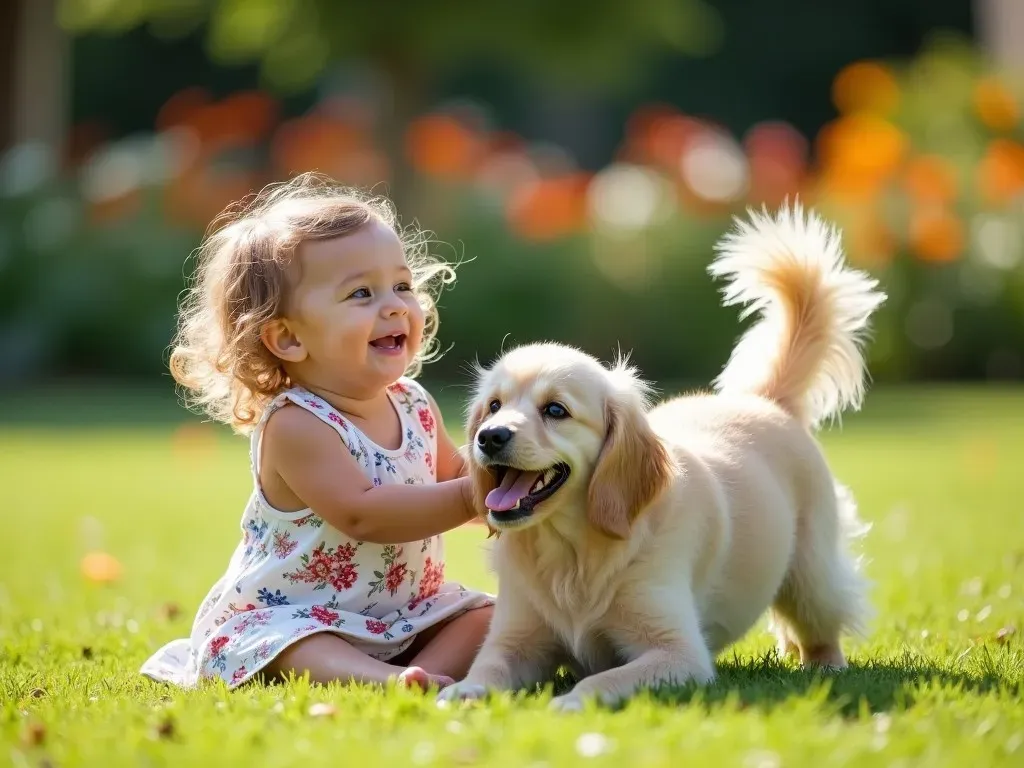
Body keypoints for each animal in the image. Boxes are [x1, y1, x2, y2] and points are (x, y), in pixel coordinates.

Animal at [440, 201, 888, 712]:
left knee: (822, 628)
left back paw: (824, 665)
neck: (573, 554)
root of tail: (766, 400)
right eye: (494, 406)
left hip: (812, 577)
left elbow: (602, 679)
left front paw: (571, 701)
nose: (489, 437)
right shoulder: (515, 640)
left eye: (556, 410)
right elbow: (487, 669)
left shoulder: (677, 652)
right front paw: (460, 690)